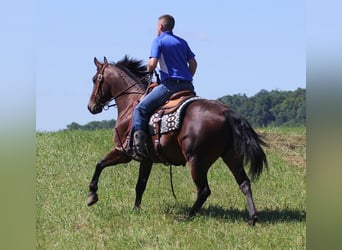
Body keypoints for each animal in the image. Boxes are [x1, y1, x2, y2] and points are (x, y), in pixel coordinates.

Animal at [86, 55, 268, 226]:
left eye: (95, 79)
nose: (91, 107)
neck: (131, 105)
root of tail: (226, 112)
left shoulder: (122, 152)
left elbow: (99, 164)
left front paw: (92, 195)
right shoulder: (146, 159)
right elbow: (140, 185)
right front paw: (135, 209)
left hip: (197, 160)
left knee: (204, 190)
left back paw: (187, 216)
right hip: (231, 156)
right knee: (244, 183)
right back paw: (252, 218)